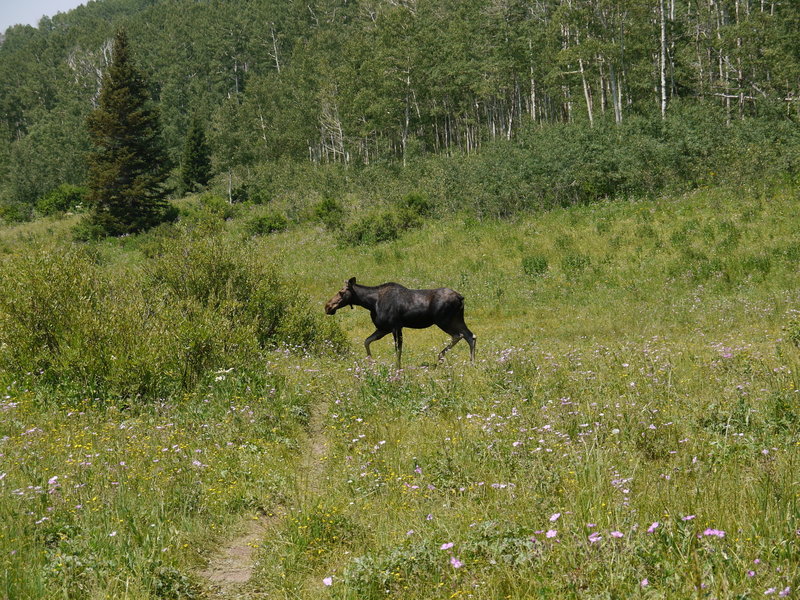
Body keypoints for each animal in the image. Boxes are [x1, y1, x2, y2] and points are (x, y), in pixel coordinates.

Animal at [324, 276, 476, 366]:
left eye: (341, 292)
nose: (327, 306)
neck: (370, 303)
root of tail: (461, 297)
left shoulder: (395, 327)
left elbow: (398, 350)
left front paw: (398, 369)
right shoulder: (383, 328)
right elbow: (366, 341)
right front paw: (371, 360)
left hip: (444, 320)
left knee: (459, 335)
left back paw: (441, 356)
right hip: (456, 319)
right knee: (470, 335)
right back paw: (472, 362)